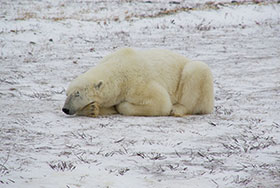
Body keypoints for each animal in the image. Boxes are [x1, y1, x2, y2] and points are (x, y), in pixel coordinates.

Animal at [61, 47, 214, 117]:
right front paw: (92, 109)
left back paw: (177, 109)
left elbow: (161, 102)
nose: (65, 109)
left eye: (77, 94)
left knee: (196, 71)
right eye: (67, 93)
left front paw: (121, 106)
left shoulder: (137, 82)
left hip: (193, 75)